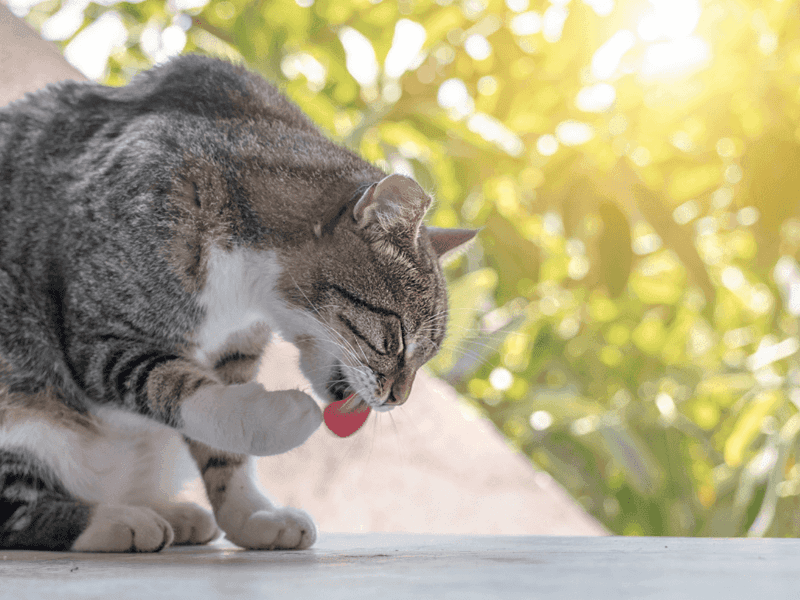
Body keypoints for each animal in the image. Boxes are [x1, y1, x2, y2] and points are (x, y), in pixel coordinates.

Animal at [0, 54, 476, 552]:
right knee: (15, 511)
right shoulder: (103, 333)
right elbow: (180, 387)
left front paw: (251, 515)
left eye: (425, 357)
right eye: (398, 339)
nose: (399, 399)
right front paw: (278, 418)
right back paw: (118, 520)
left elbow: (225, 451)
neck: (246, 294)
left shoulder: (234, 350)